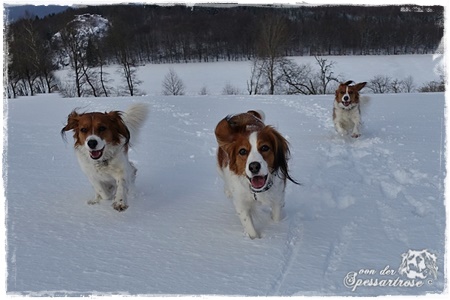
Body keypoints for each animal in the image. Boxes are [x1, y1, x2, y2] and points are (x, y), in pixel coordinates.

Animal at [215, 110, 298, 239]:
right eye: (242, 151)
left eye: (264, 147)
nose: (254, 166)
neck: (257, 192)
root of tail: (244, 113)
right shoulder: (241, 203)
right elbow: (250, 228)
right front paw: (255, 240)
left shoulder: (277, 196)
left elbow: (276, 217)